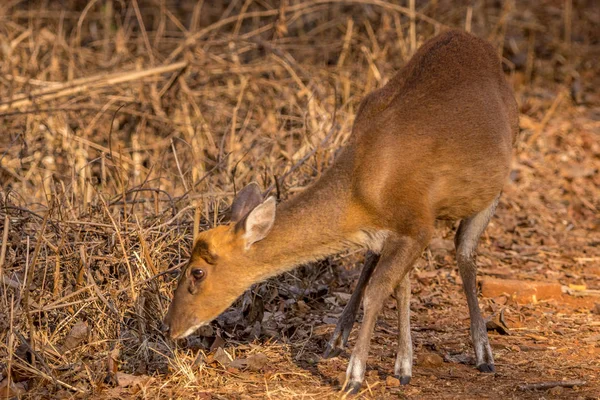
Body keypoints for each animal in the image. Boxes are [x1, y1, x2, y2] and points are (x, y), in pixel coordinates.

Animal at [164, 31, 520, 394]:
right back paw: (338, 339)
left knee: (464, 253)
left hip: (495, 185)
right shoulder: (398, 231)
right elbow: (399, 287)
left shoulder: (419, 223)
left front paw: (354, 377)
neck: (362, 188)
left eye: (197, 272)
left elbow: (379, 291)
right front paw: (402, 366)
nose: (167, 326)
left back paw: (484, 354)